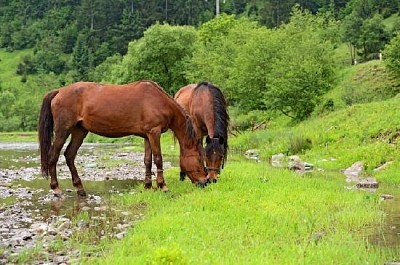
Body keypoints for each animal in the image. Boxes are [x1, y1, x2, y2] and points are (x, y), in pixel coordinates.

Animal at [38, 79, 208, 195]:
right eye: (200, 159)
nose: (205, 182)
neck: (158, 101)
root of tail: (59, 91)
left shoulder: (147, 135)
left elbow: (147, 160)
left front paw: (148, 185)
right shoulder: (154, 132)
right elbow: (158, 159)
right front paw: (162, 185)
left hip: (79, 131)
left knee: (69, 155)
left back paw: (80, 189)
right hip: (63, 130)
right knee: (53, 156)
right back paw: (56, 188)